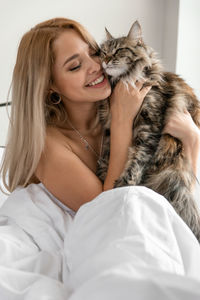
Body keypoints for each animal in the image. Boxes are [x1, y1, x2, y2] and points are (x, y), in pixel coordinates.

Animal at [96, 20, 200, 241]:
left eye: (118, 51)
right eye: (103, 52)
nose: (105, 61)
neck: (122, 82)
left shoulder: (149, 124)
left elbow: (137, 159)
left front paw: (124, 184)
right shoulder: (110, 128)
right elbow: (108, 154)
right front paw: (103, 174)